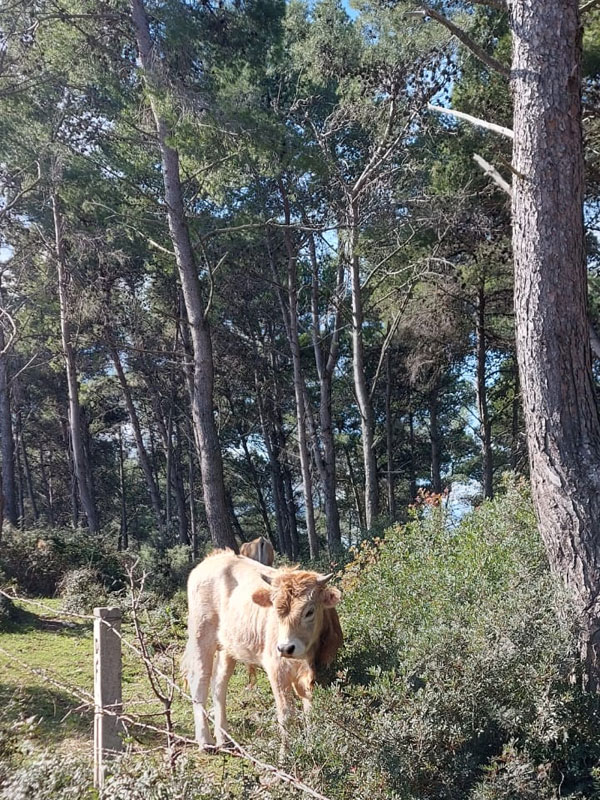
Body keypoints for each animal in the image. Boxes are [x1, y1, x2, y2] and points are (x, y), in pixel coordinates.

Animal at [180, 552, 342, 752]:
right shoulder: (277, 669)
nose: (285, 648)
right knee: (200, 682)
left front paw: (313, 747)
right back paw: (205, 741)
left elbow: (311, 711)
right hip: (201, 636)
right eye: (276, 611)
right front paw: (285, 755)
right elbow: (286, 714)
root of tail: (215, 557)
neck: (306, 660)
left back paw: (224, 738)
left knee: (219, 684)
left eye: (309, 611)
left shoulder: (315, 674)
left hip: (228, 646)